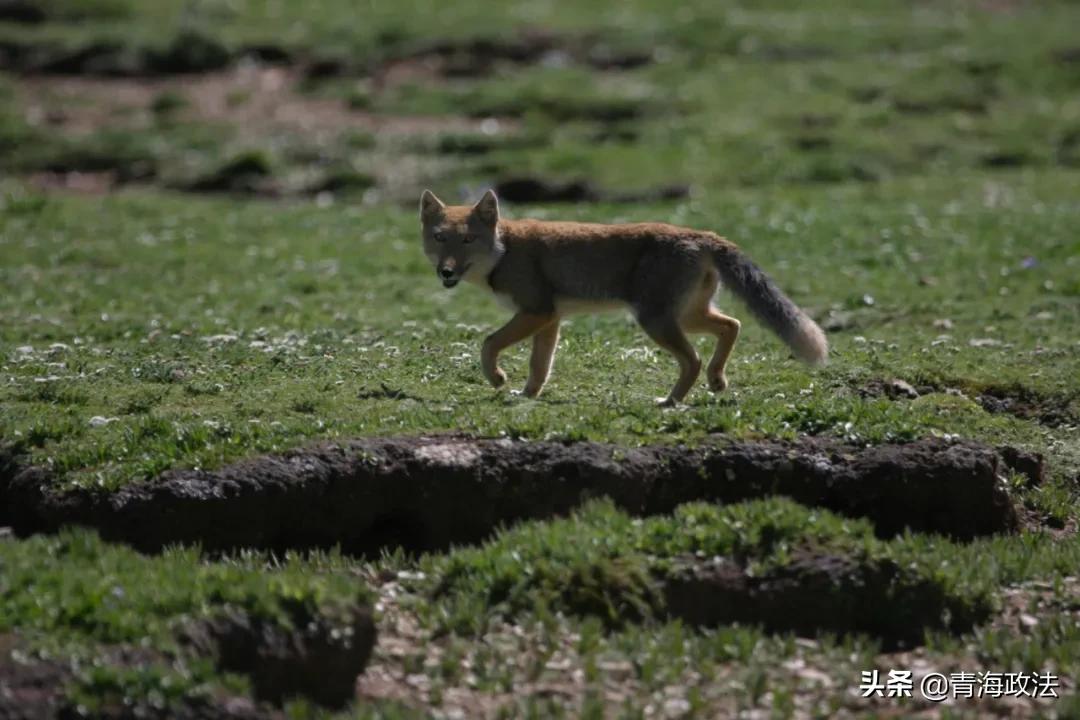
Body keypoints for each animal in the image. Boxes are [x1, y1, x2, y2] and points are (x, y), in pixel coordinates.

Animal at [419, 189, 825, 405]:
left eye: (467, 240)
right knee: (732, 325)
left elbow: (488, 343)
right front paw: (527, 396)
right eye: (440, 238)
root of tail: (702, 234)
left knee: (693, 358)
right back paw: (717, 380)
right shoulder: (550, 318)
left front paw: (498, 378)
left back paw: (671, 402)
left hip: (656, 321)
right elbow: (540, 366)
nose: (446, 272)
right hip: (687, 316)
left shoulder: (536, 311)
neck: (504, 250)